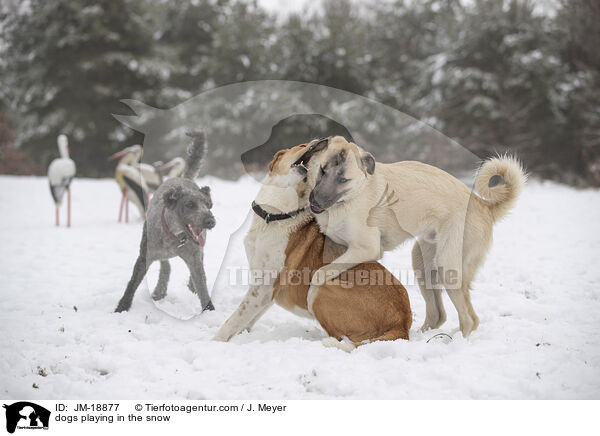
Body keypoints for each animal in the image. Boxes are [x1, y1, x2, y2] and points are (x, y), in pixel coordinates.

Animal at [115, 130, 216, 314]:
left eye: (207, 204)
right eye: (189, 205)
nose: (210, 221)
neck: (174, 236)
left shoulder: (194, 258)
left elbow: (202, 285)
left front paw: (209, 310)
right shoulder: (144, 257)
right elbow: (132, 284)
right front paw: (121, 308)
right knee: (166, 266)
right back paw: (159, 291)